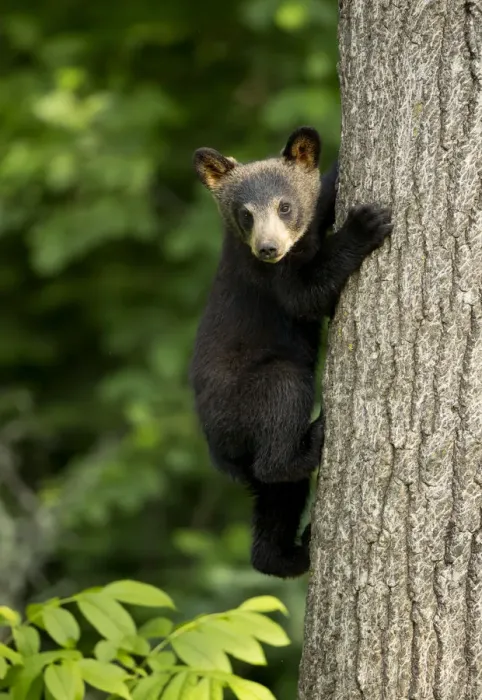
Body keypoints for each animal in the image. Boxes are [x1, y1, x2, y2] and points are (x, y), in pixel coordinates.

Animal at [190, 127, 392, 578]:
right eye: (246, 213)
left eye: (284, 206)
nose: (268, 247)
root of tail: (219, 451)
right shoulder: (268, 278)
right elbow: (306, 296)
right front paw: (365, 224)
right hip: (257, 388)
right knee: (280, 425)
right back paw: (314, 439)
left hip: (253, 467)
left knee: (276, 496)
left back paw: (288, 554)